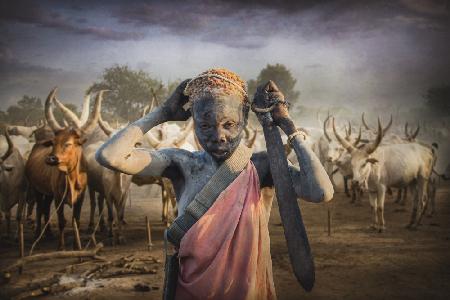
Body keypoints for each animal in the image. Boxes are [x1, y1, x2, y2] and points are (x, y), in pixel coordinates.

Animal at [26, 88, 103, 250]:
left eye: (68, 143)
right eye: (54, 142)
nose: (50, 159)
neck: (72, 177)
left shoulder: (80, 197)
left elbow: (76, 220)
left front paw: (76, 245)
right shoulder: (58, 197)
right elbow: (62, 221)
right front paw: (61, 246)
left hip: (48, 193)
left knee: (45, 209)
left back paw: (49, 233)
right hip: (36, 188)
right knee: (39, 209)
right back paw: (38, 234)